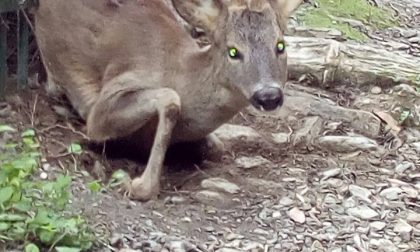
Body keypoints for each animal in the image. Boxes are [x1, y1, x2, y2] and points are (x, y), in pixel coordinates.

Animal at [32, 0, 302, 201]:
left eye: (280, 46)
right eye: (233, 51)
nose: (269, 95)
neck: (182, 71)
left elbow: (218, 147)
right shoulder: (105, 102)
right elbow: (170, 99)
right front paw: (131, 182)